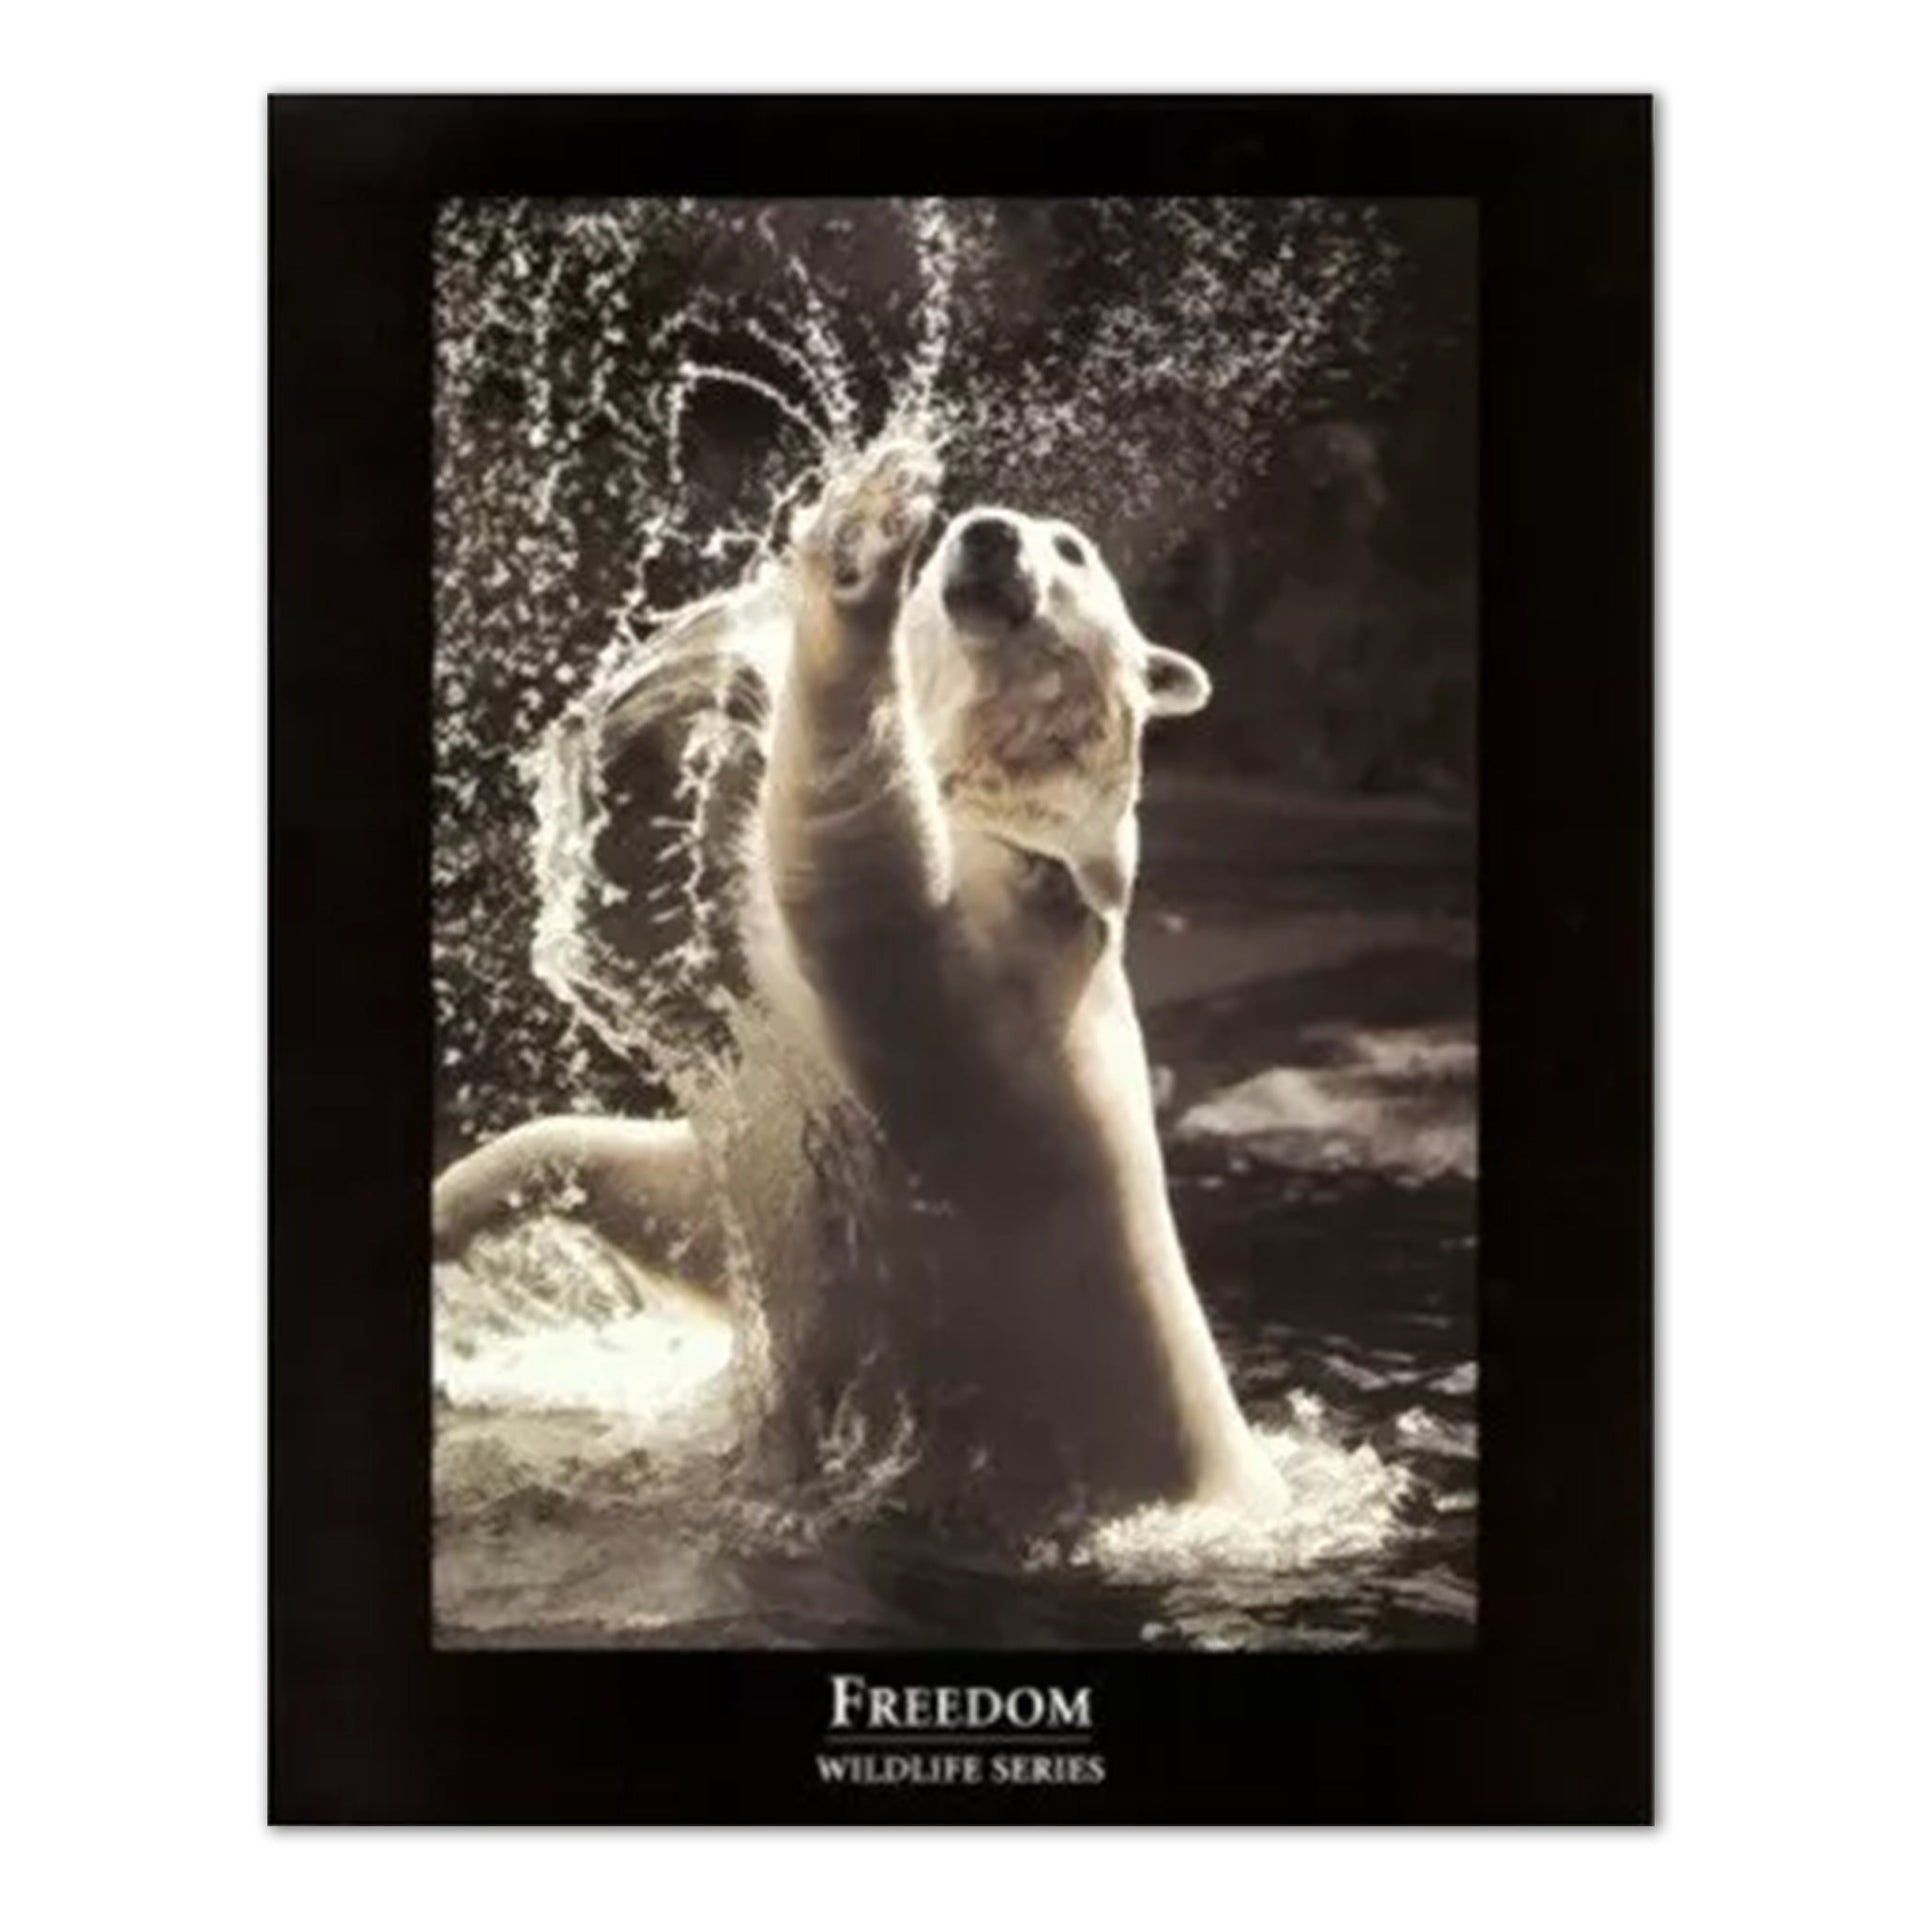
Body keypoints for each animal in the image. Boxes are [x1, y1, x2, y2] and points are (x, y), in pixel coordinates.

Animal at [434, 441, 1275, 1523]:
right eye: (975, 526)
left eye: (1071, 548)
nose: (985, 538)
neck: (1039, 849)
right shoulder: (811, 1115)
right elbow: (684, 1185)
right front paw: (679, 698)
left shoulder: (971, 1007)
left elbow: (855, 859)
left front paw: (858, 551)